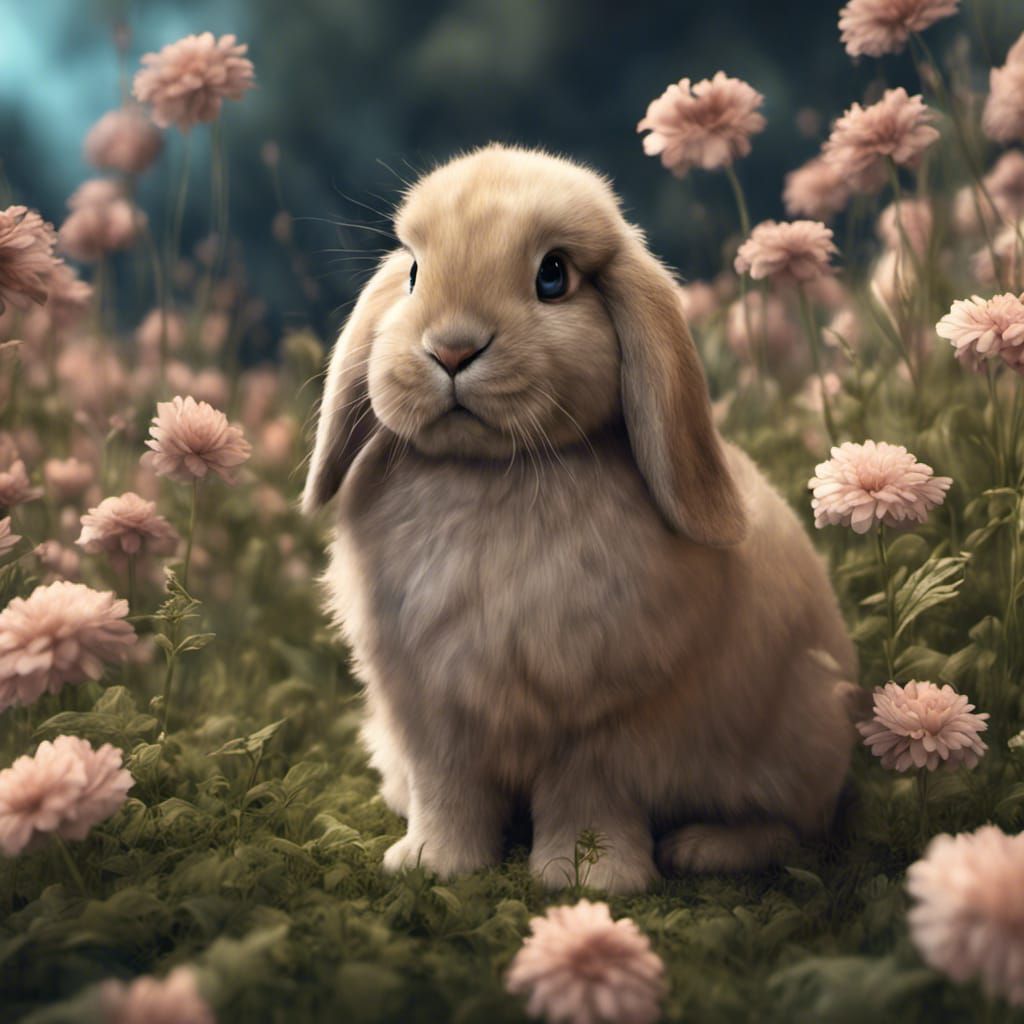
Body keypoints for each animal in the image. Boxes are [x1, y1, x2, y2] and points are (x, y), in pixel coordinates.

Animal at [303, 144, 858, 895]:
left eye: (553, 276)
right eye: (414, 273)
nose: (451, 349)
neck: (489, 475)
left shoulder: (604, 726)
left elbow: (586, 802)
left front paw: (587, 880)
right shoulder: (436, 715)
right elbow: (448, 794)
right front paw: (431, 865)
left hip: (794, 735)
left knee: (796, 827)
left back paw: (702, 848)